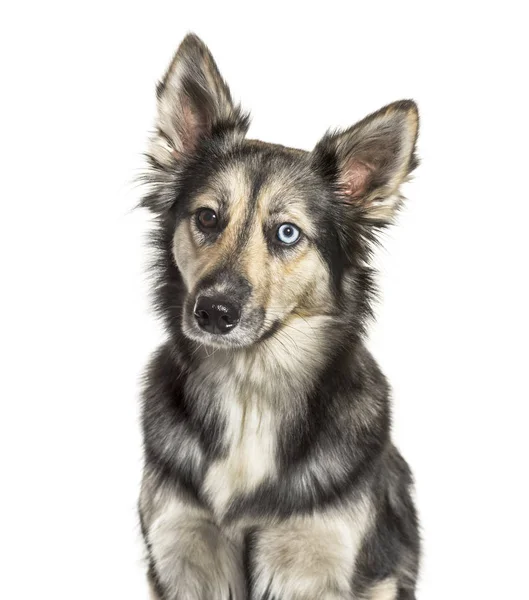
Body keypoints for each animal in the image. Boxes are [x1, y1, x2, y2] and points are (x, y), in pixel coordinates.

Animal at [138, 34, 418, 600]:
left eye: (287, 233)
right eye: (207, 218)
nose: (213, 312)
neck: (249, 392)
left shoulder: (326, 559)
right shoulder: (181, 550)